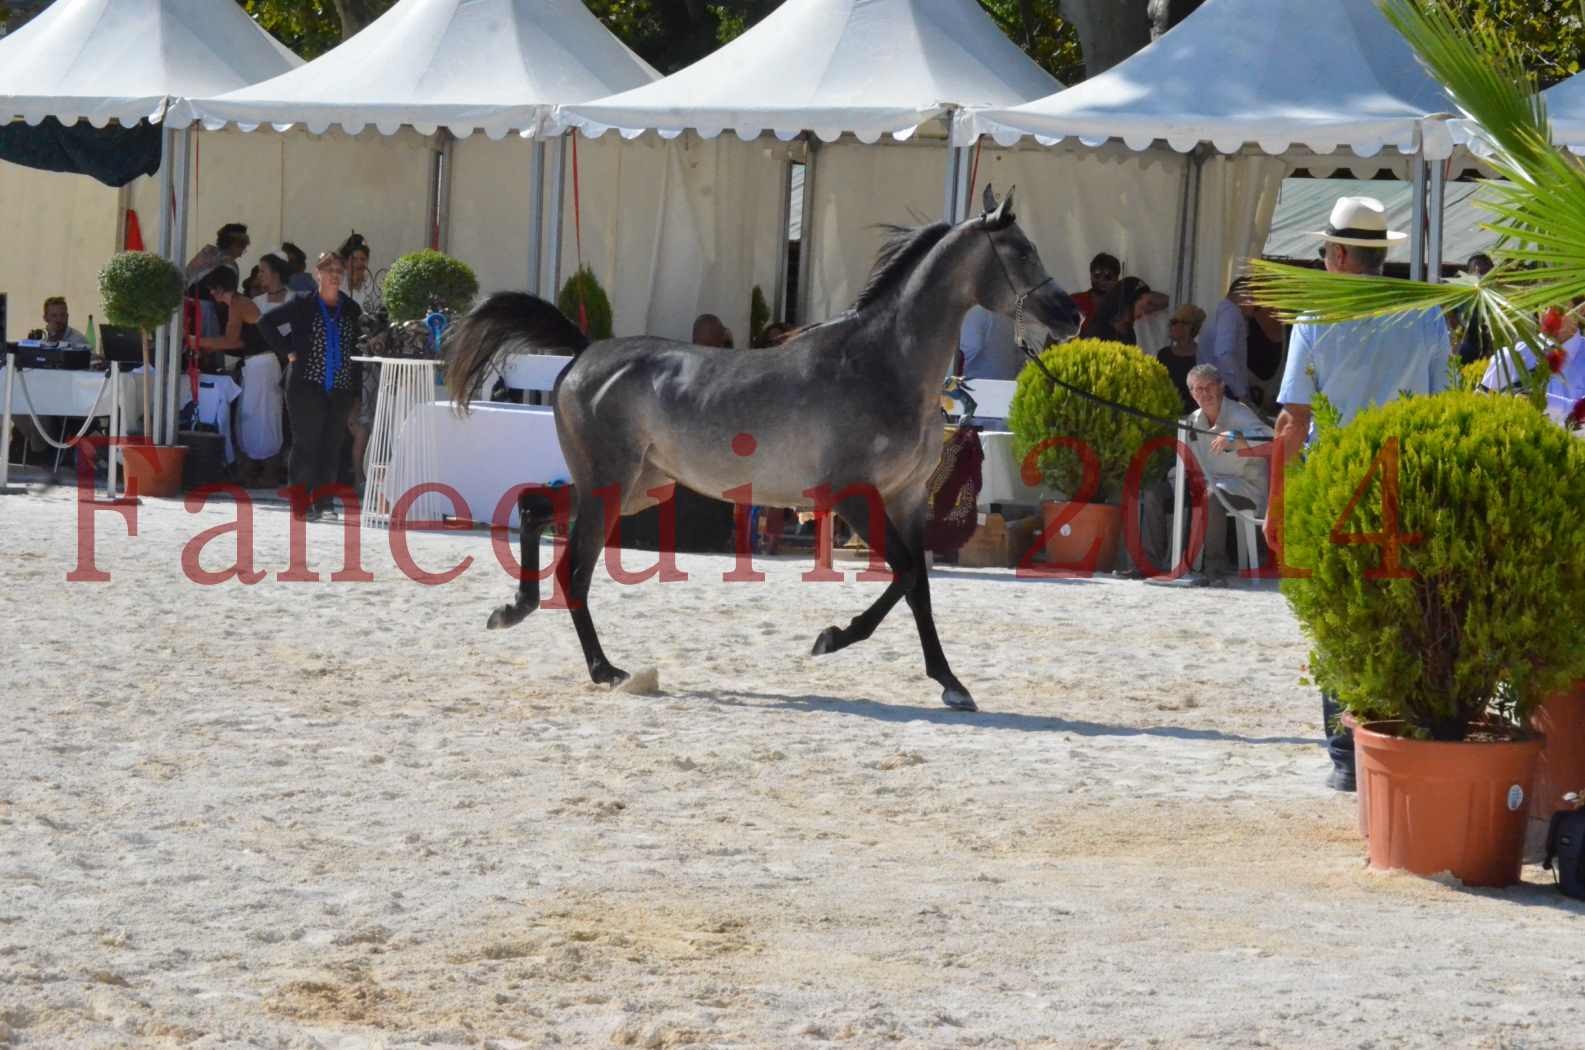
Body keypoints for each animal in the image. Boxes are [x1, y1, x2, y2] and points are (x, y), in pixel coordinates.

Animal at [453, 187, 1084, 716]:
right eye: (1022, 252)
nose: (1071, 315)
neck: (884, 363)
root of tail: (584, 354)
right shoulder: (855, 495)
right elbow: (905, 575)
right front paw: (832, 639)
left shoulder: (905, 498)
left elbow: (919, 586)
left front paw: (951, 684)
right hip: (611, 486)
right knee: (575, 569)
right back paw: (605, 670)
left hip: (637, 487)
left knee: (534, 508)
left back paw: (513, 610)